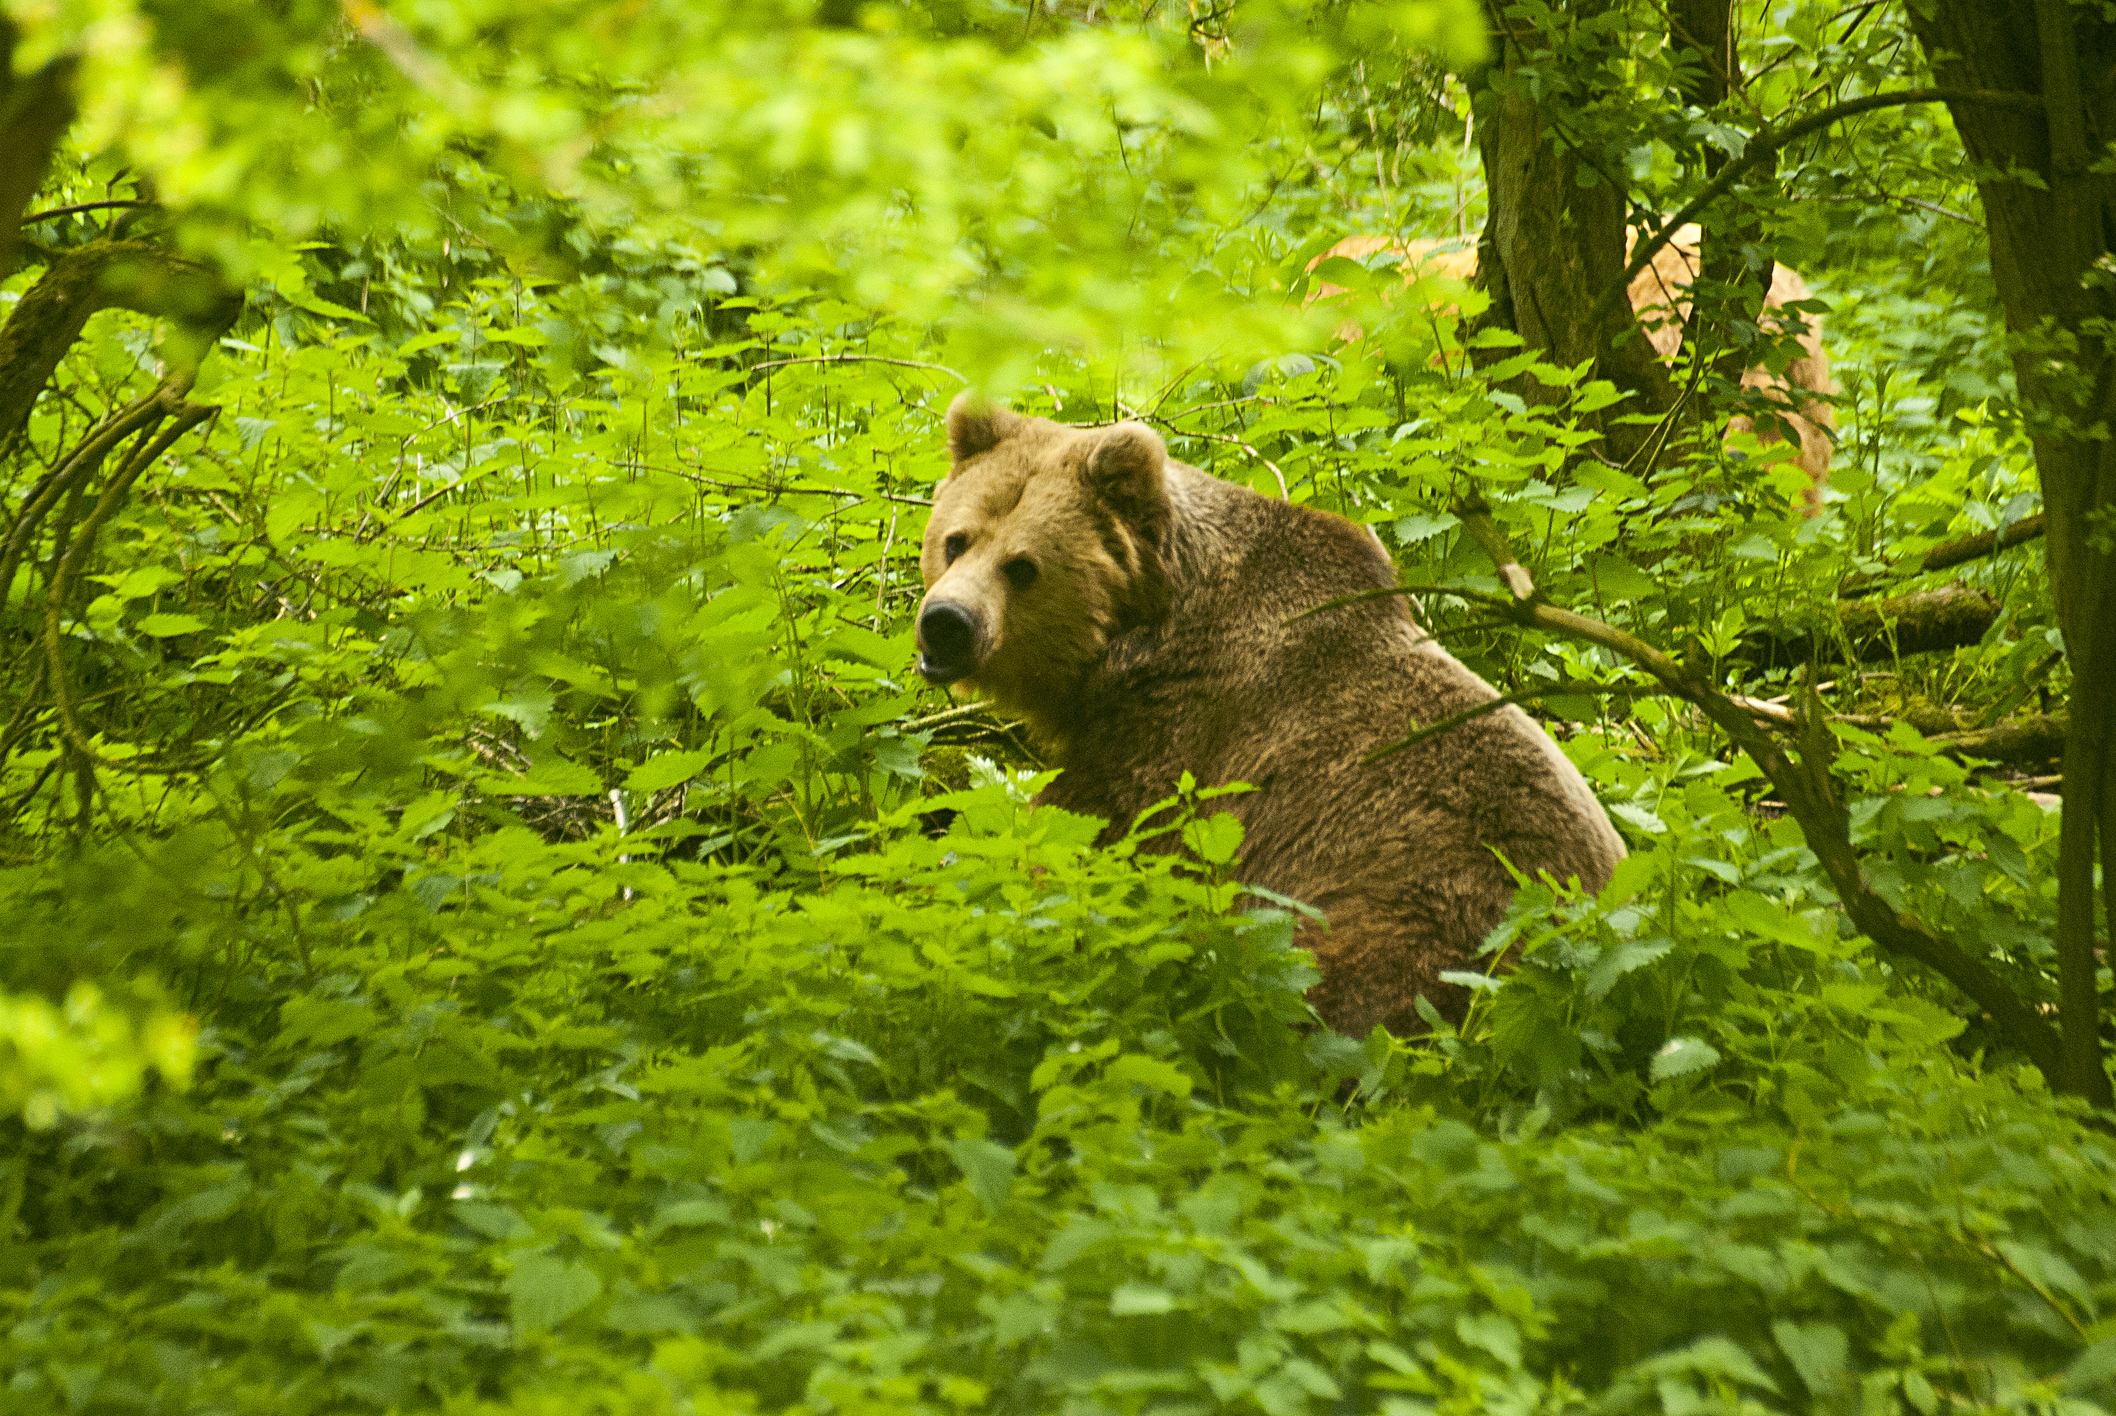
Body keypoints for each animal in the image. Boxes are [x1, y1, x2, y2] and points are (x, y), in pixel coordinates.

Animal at [916, 393, 1627, 1035]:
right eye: (956, 540)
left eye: (1023, 567)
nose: (946, 622)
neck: (1137, 632)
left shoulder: (1181, 736)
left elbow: (1087, 838)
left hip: (1426, 907)